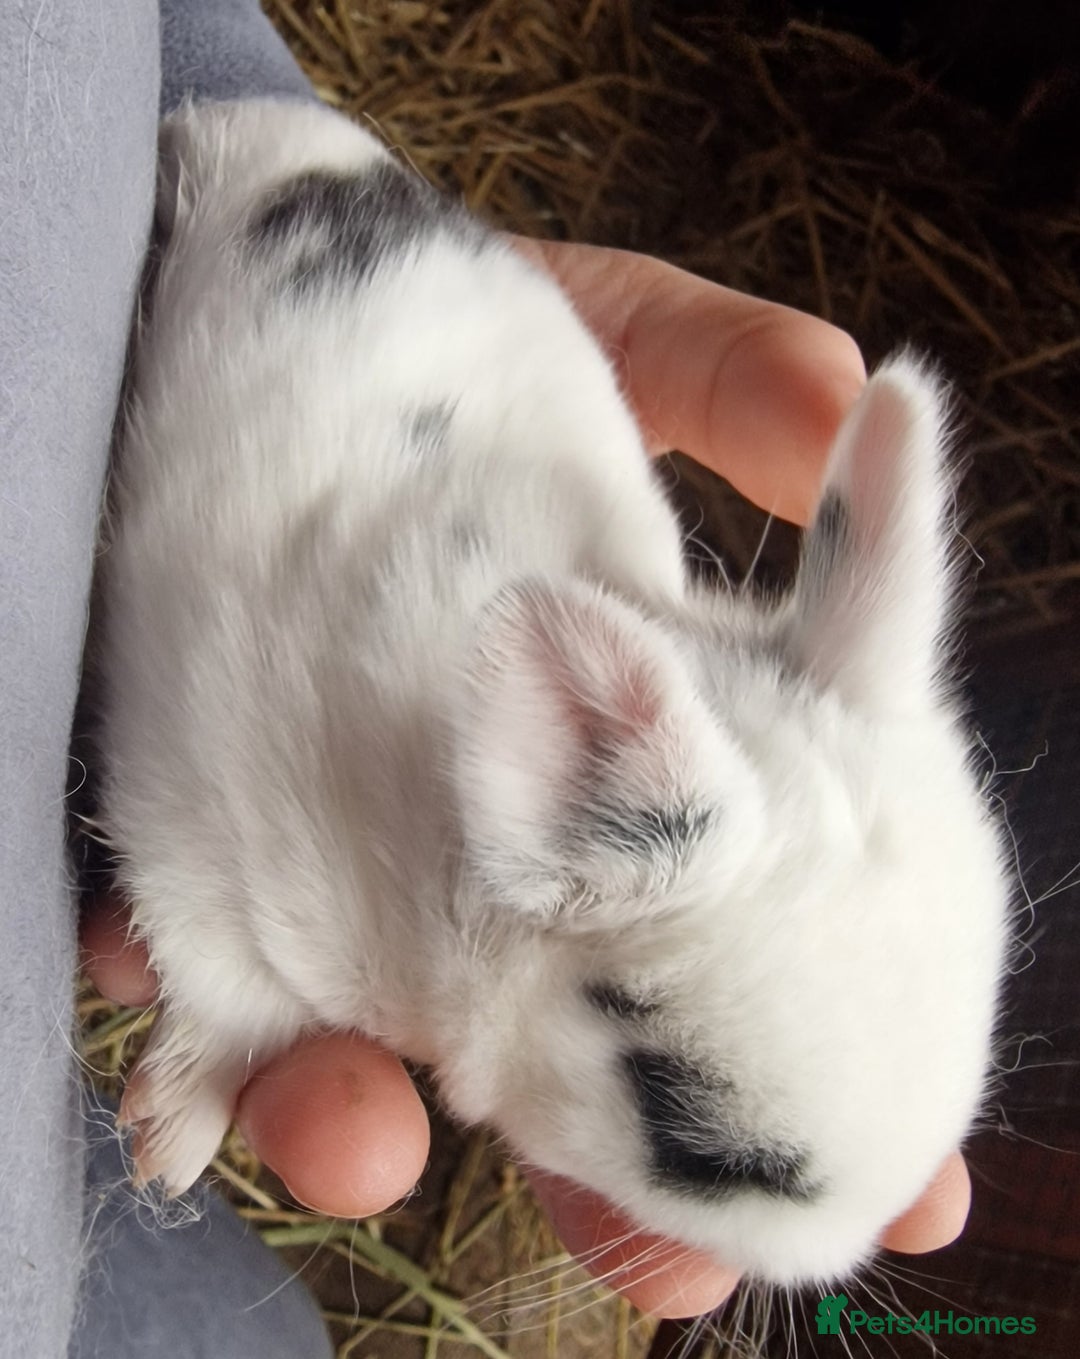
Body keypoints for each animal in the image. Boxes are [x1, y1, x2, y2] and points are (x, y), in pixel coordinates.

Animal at [89, 96, 1009, 1289]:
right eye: (695, 1140)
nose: (834, 1261)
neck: (454, 845)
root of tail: (257, 125)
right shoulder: (191, 842)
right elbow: (227, 1003)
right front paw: (166, 1143)